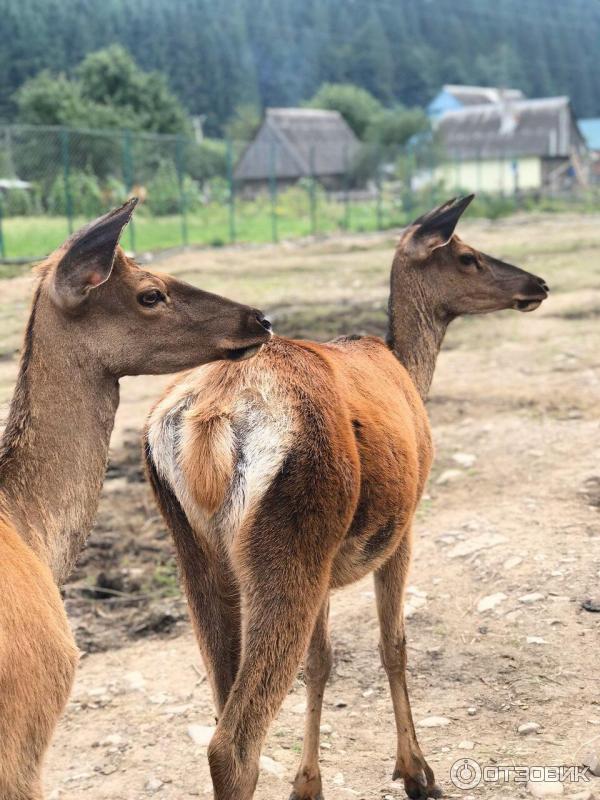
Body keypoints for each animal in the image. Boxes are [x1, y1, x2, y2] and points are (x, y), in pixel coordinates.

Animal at [145, 195, 548, 800]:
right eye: (469, 256)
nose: (538, 284)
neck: (409, 369)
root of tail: (209, 421)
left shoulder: (330, 564)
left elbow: (322, 661)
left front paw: (308, 782)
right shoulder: (403, 527)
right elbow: (393, 645)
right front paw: (417, 772)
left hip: (199, 551)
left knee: (222, 705)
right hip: (293, 531)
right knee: (233, 744)